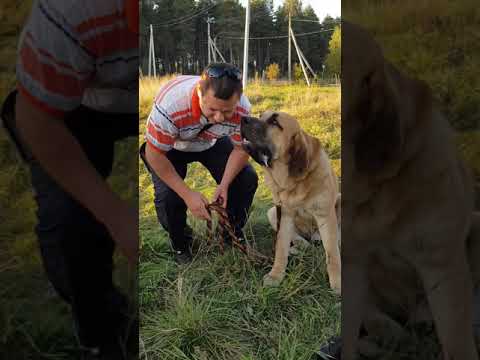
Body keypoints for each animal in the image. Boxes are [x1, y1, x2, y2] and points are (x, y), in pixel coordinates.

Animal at [242, 110, 340, 292]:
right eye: (261, 115)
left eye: (275, 122)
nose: (241, 118)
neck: (293, 182)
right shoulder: (284, 214)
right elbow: (281, 247)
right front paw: (276, 275)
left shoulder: (325, 214)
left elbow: (332, 252)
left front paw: (337, 282)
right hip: (272, 212)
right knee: (300, 241)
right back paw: (297, 247)